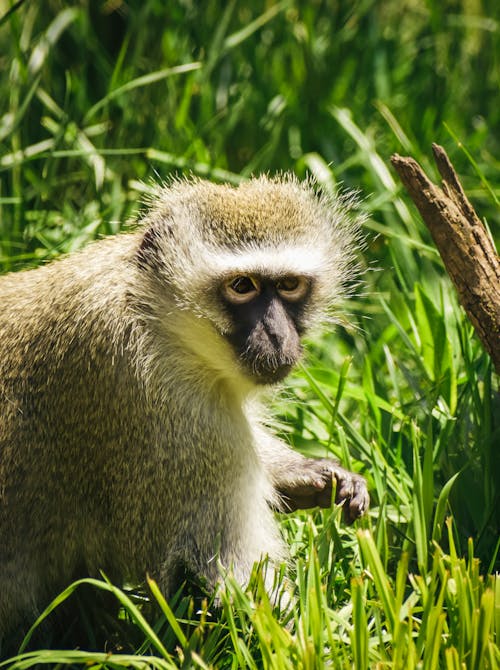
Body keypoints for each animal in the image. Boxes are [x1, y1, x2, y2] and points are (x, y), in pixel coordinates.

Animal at [0, 176, 368, 644]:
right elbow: (224, 567)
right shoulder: (170, 415)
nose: (277, 335)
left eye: (288, 285)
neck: (155, 316)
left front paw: (308, 473)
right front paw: (318, 644)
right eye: (242, 286)